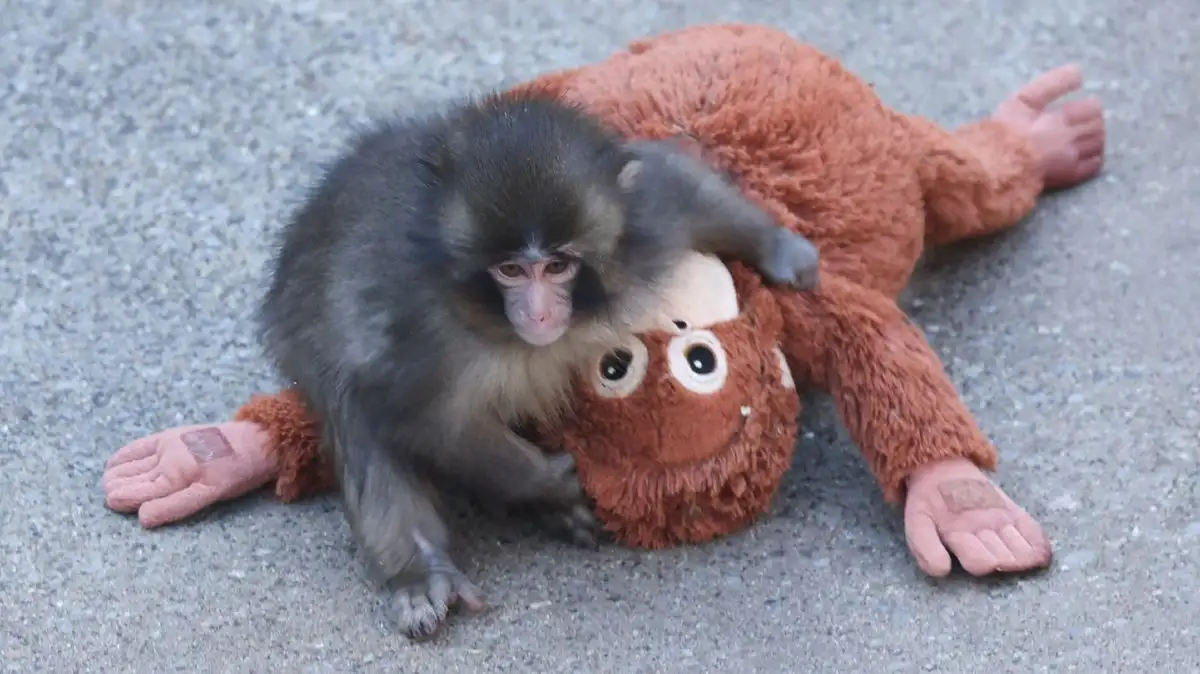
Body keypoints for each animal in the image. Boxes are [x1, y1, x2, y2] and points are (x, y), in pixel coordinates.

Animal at [256, 91, 820, 640]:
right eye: (510, 270)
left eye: (557, 265)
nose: (540, 312)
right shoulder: (417, 333)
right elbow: (423, 419)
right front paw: (548, 482)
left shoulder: (642, 227)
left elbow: (676, 184)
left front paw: (781, 249)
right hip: (300, 336)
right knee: (354, 412)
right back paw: (421, 571)